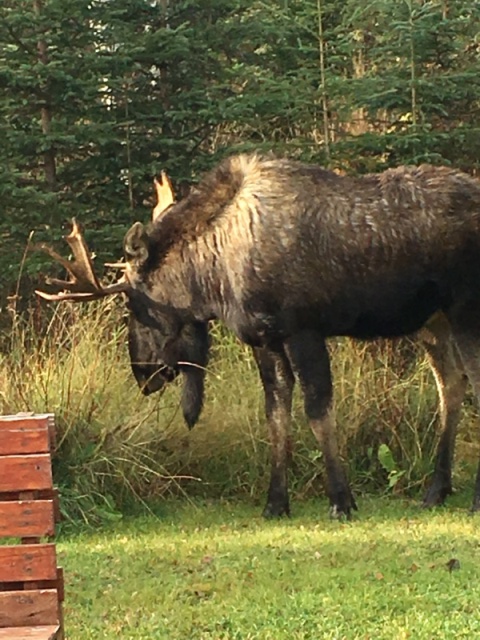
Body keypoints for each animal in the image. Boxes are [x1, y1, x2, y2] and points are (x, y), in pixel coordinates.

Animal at [36, 154, 480, 520]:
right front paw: (276, 503)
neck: (214, 279)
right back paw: (436, 490)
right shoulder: (265, 339)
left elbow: (317, 412)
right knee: (451, 385)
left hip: (465, 311)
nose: (143, 374)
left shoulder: (304, 331)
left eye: (135, 303)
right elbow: (276, 415)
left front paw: (341, 499)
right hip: (434, 323)